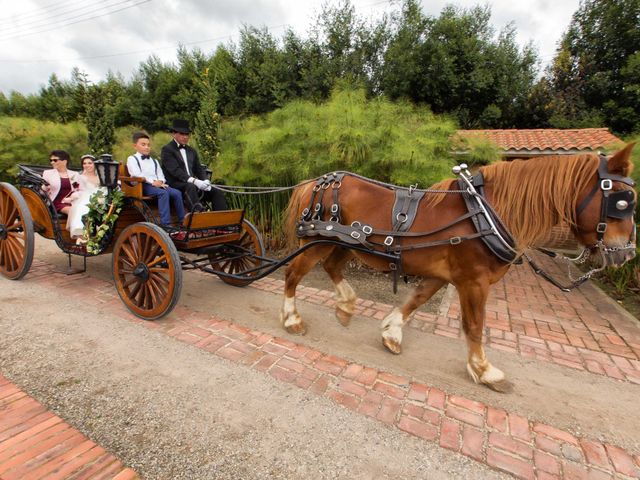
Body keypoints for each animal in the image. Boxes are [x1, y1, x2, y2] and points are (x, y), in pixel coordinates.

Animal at [280, 143, 636, 390]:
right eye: (622, 201)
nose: (627, 254)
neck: (486, 215)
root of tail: (316, 181)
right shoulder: (473, 281)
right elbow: (474, 325)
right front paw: (484, 370)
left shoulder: (443, 275)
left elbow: (415, 301)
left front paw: (391, 332)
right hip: (320, 241)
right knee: (293, 274)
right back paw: (292, 318)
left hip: (345, 243)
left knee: (332, 268)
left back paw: (346, 305)